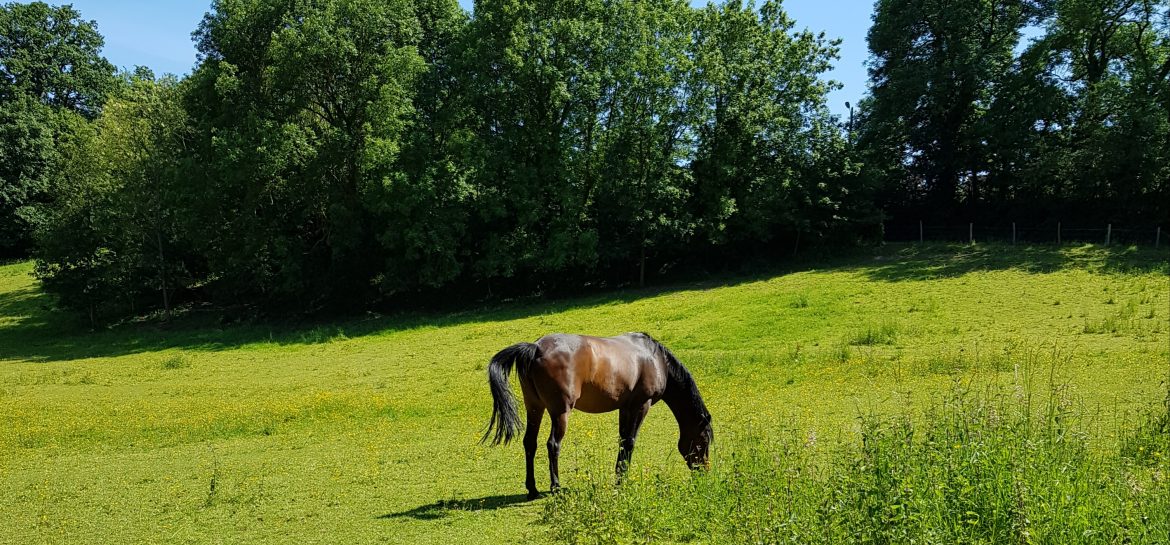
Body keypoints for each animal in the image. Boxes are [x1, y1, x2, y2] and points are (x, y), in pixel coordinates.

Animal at [481, 332, 713, 500]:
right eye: (704, 441)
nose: (704, 473)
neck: (656, 359)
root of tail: (536, 348)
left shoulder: (625, 407)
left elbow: (622, 441)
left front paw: (619, 476)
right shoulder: (641, 405)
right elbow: (630, 442)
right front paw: (622, 480)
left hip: (535, 408)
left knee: (530, 443)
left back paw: (533, 489)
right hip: (560, 412)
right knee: (553, 445)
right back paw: (555, 487)